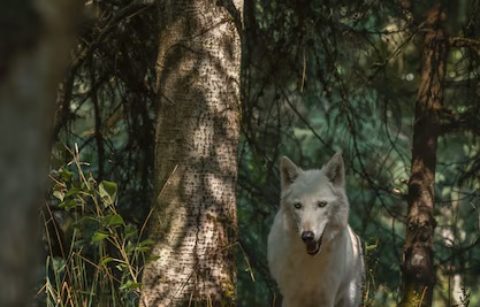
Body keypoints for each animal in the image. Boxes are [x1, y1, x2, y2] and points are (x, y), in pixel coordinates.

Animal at [268, 153, 366, 306]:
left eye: (322, 204)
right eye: (298, 206)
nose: (307, 236)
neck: (311, 262)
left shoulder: (327, 298)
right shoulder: (291, 297)